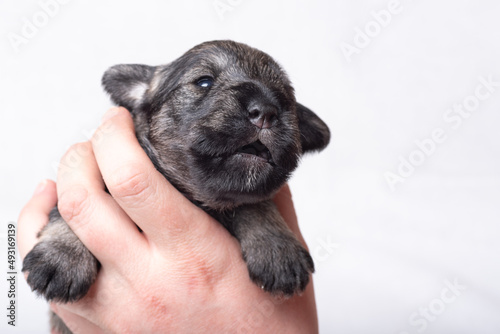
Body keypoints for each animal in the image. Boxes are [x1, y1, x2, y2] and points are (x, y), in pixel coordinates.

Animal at [23, 39, 330, 332]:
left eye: (287, 96)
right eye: (204, 82)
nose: (266, 110)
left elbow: (254, 202)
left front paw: (277, 248)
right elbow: (67, 209)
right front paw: (62, 257)